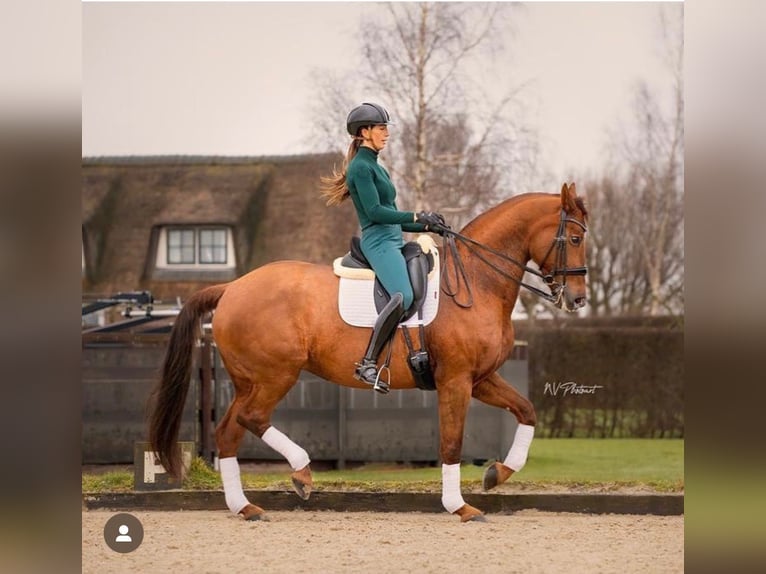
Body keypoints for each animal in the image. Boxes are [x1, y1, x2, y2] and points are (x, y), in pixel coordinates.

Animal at [152, 183, 592, 520]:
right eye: (575, 239)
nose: (578, 299)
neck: (477, 280)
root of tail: (232, 287)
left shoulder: (481, 378)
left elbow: (527, 411)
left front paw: (497, 474)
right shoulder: (456, 380)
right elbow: (452, 443)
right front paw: (459, 506)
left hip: (249, 380)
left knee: (228, 431)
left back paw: (245, 507)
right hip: (275, 375)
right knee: (251, 418)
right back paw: (302, 473)